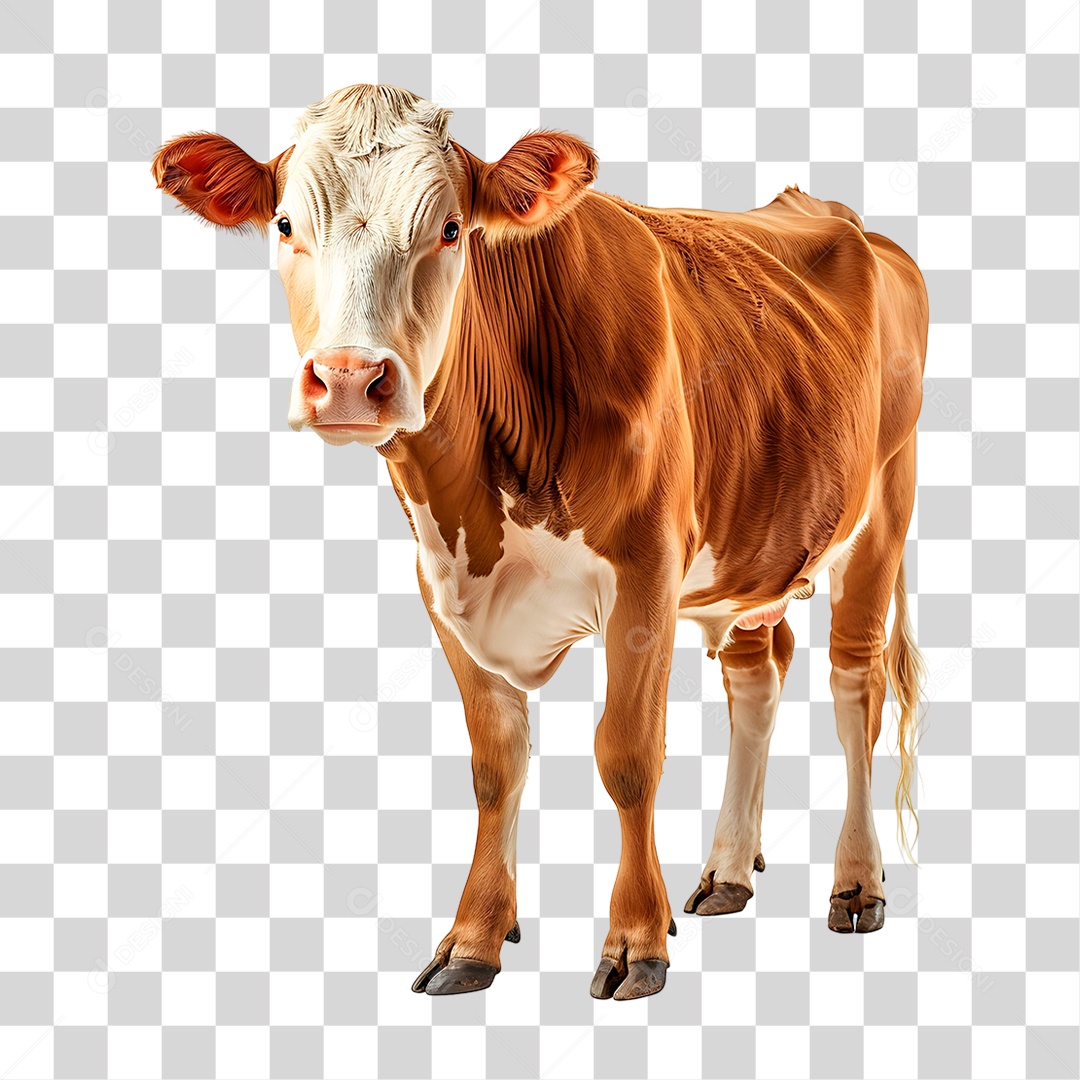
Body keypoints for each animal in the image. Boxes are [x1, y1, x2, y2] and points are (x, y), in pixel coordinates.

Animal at [153, 83, 929, 1001]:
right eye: (283, 224)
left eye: (452, 228)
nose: (348, 379)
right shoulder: (444, 585)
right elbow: (495, 765)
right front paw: (475, 938)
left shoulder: (646, 576)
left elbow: (627, 755)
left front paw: (636, 941)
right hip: (755, 542)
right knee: (757, 678)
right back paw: (728, 872)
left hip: (883, 511)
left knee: (857, 692)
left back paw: (857, 882)